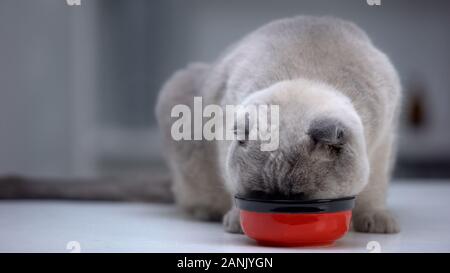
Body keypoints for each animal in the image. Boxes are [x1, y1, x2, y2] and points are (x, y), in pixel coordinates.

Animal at [0, 15, 400, 233]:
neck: (306, 74)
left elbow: (373, 189)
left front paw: (375, 221)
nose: (276, 209)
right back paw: (208, 212)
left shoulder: (383, 142)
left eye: (299, 200)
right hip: (179, 98)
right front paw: (237, 221)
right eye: (259, 196)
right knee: (188, 199)